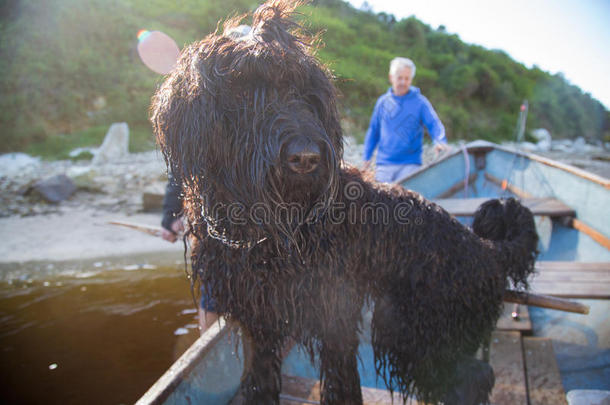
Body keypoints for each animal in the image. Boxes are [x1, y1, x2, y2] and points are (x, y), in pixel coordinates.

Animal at [150, 1, 536, 402]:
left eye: (308, 95)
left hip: (418, 330)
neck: (276, 230)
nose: (306, 157)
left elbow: (340, 382)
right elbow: (260, 379)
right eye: (243, 88)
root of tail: (486, 249)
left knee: (473, 376)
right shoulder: (261, 321)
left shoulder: (333, 314)